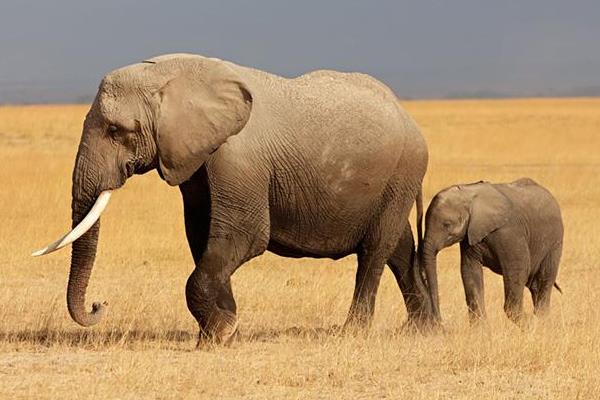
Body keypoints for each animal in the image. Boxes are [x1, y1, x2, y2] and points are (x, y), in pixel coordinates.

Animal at [34, 53, 432, 344]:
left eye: (117, 131)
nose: (99, 304)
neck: (172, 75)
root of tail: (410, 118)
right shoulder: (194, 159)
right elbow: (202, 238)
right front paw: (223, 328)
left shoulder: (238, 158)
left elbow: (243, 236)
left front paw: (219, 334)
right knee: (399, 247)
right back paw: (422, 328)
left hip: (403, 171)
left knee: (375, 250)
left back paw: (354, 331)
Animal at [420, 180, 564, 324]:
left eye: (447, 224)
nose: (439, 320)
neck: (469, 193)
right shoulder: (470, 236)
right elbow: (469, 271)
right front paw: (480, 327)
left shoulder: (509, 231)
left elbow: (517, 268)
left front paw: (528, 323)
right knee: (534, 285)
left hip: (555, 242)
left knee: (543, 281)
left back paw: (542, 321)